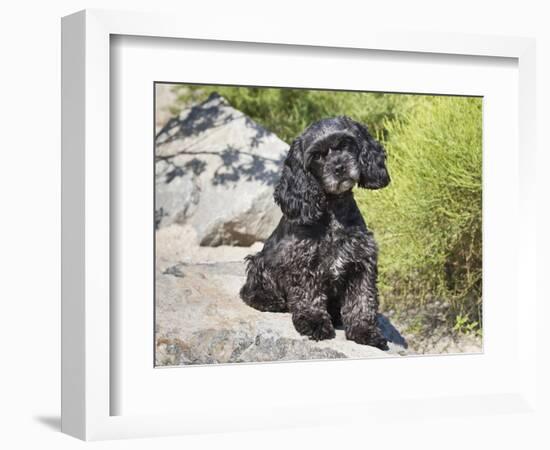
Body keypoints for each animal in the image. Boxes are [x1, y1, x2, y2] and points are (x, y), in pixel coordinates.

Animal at [242, 117, 392, 352]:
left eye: (345, 144)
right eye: (317, 156)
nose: (339, 167)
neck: (333, 212)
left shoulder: (361, 263)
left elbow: (362, 301)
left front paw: (365, 332)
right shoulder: (302, 262)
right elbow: (308, 297)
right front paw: (314, 323)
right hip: (260, 261)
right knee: (249, 291)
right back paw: (270, 301)